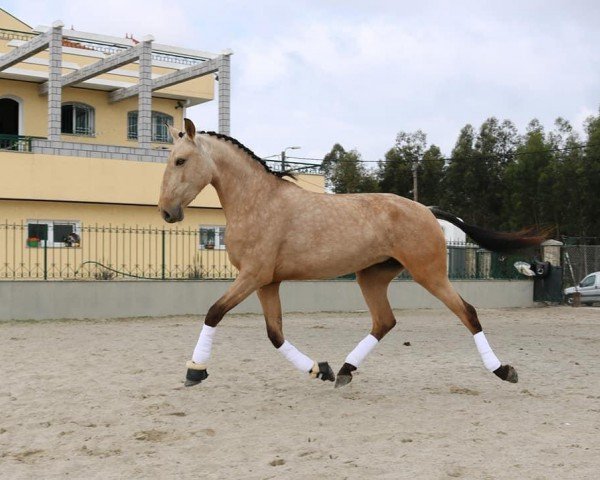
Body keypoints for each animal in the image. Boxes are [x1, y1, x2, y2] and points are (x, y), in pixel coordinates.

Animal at [158, 119, 544, 386]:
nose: (166, 212)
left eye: (180, 161)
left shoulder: (253, 275)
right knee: (384, 321)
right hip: (372, 276)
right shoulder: (268, 282)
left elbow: (214, 313)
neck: (258, 201)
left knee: (468, 312)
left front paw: (195, 370)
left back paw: (503, 370)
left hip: (429, 273)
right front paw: (320, 370)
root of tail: (427, 210)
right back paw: (344, 370)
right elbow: (275, 334)